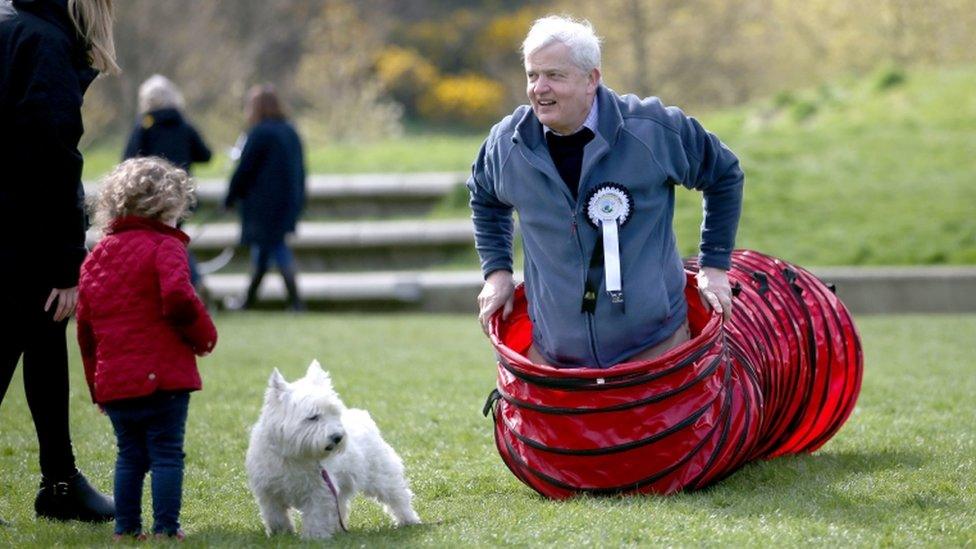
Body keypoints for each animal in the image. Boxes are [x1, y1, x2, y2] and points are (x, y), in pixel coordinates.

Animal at [244, 360, 420, 540]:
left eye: (334, 413)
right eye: (313, 417)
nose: (337, 437)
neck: (294, 455)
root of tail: (363, 415)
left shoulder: (319, 490)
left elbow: (316, 515)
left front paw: (314, 537)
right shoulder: (269, 492)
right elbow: (276, 516)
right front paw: (281, 534)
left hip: (380, 475)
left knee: (398, 495)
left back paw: (409, 520)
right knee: (340, 506)